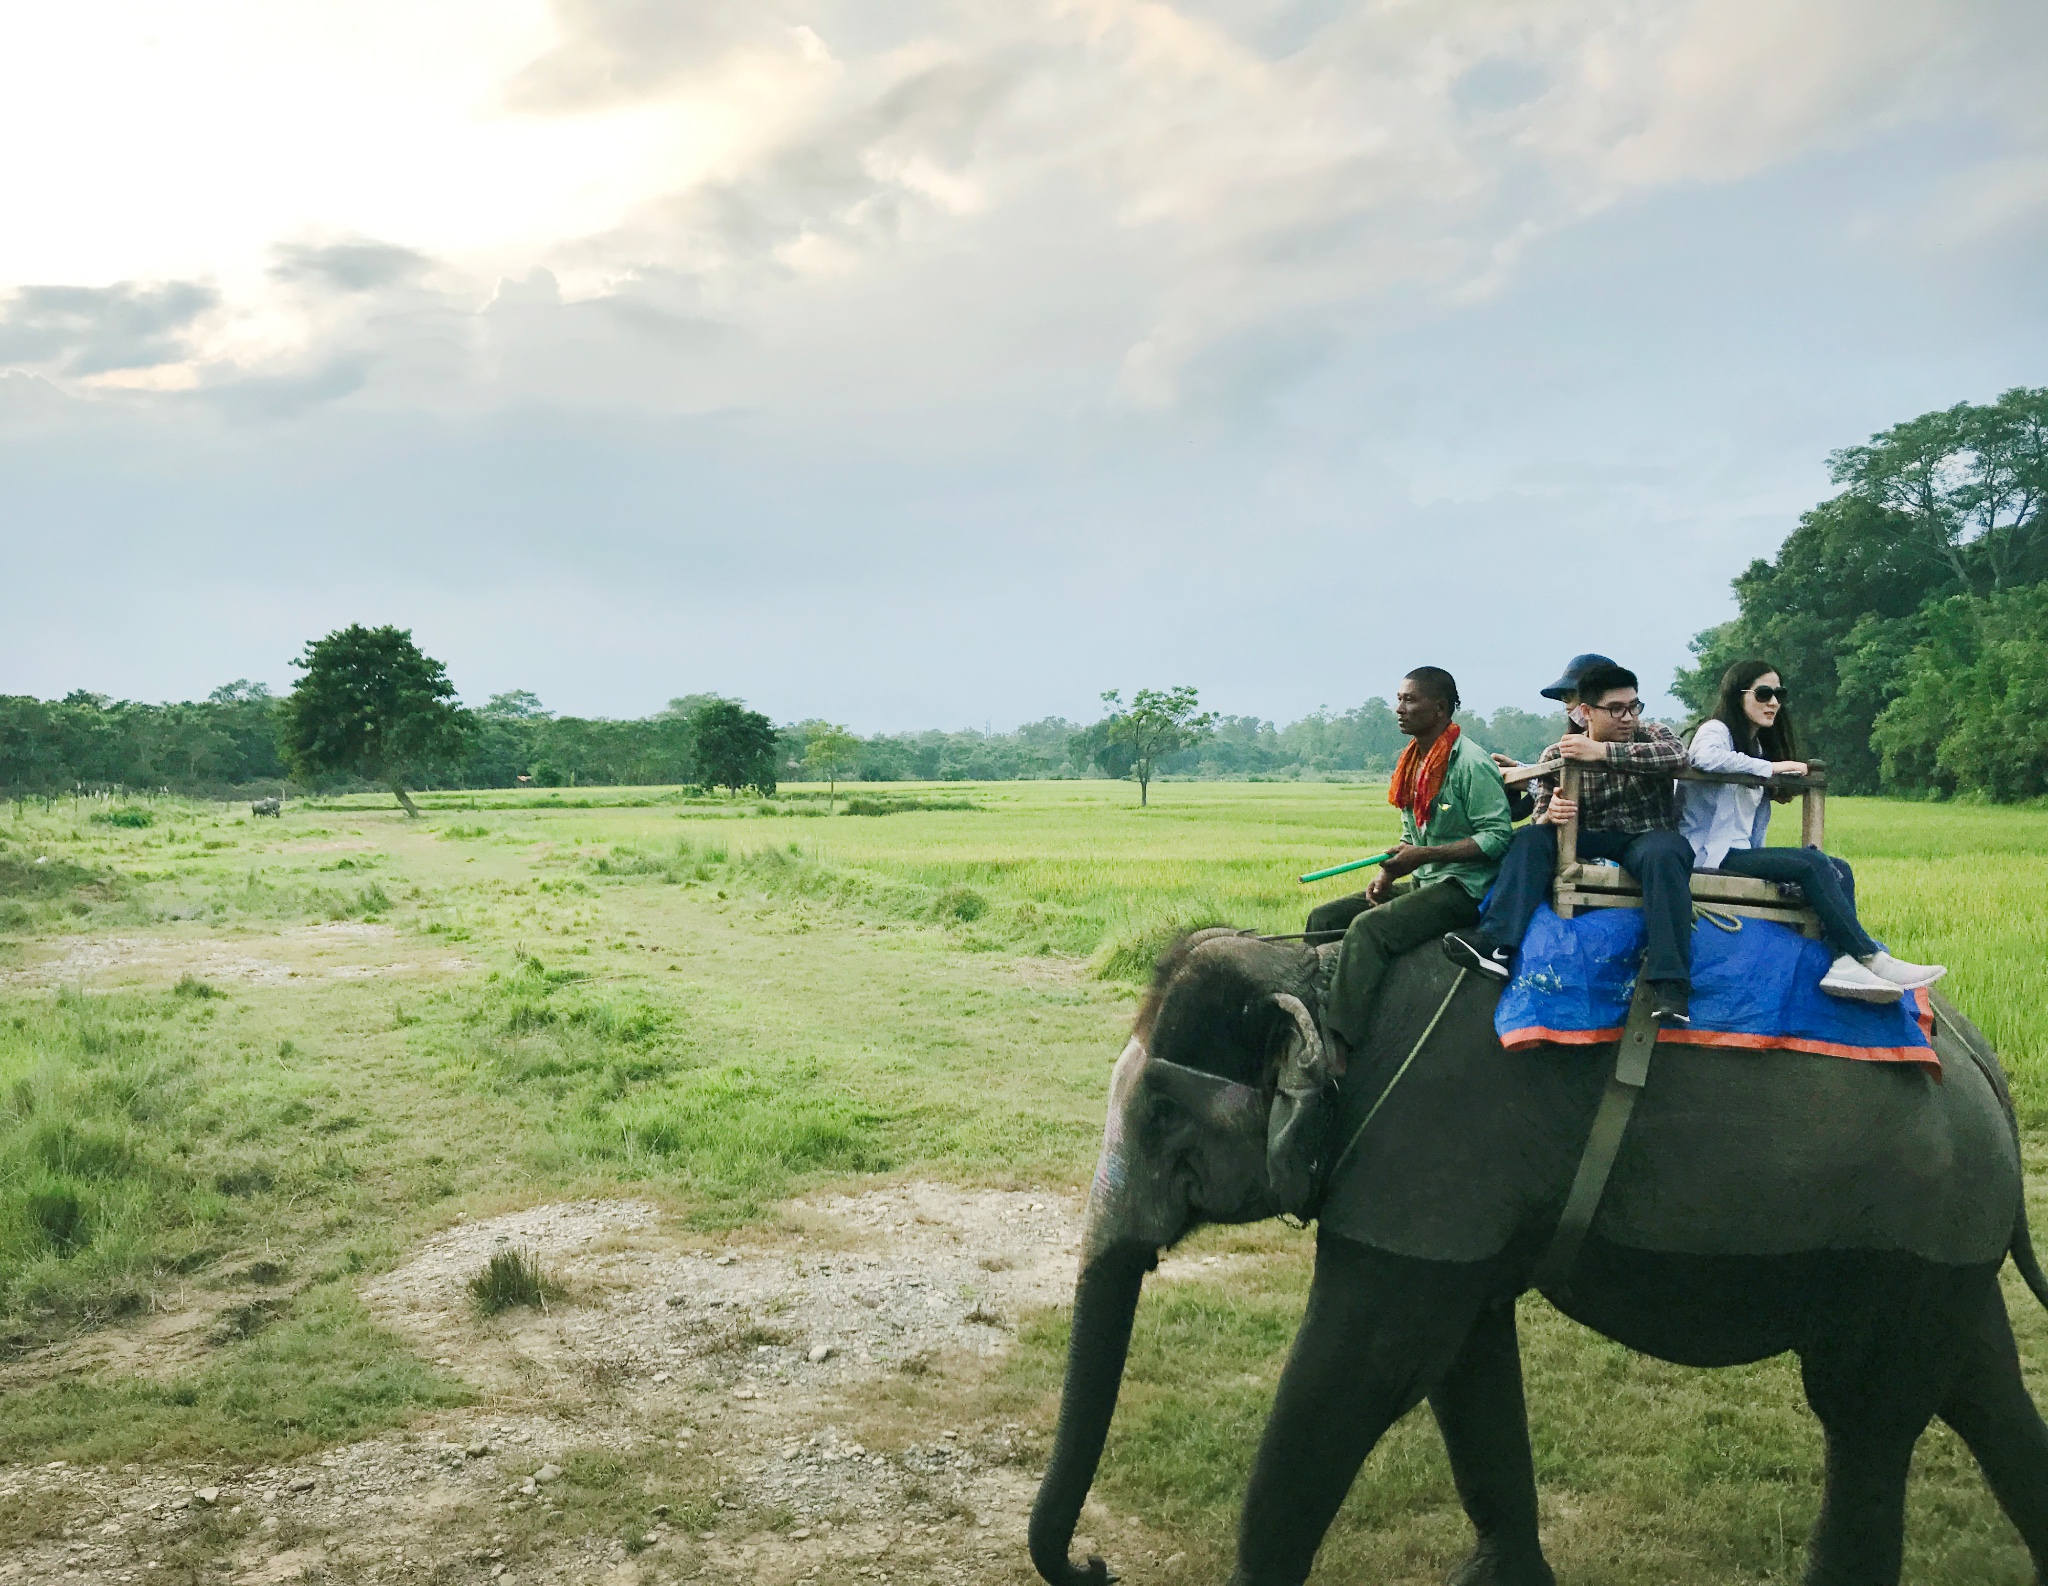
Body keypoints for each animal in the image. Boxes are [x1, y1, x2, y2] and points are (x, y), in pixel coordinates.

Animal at [1032, 930, 2048, 1586]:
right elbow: (1466, 1359)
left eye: (1162, 1114)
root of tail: (1987, 1064)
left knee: (1866, 1414)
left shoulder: (1431, 1144)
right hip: (1948, 1239)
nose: (1095, 1564)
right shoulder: (1458, 1199)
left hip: (1912, 1223)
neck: (1323, 975)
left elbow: (1370, 1364)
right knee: (1980, 1387)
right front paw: (1498, 1579)